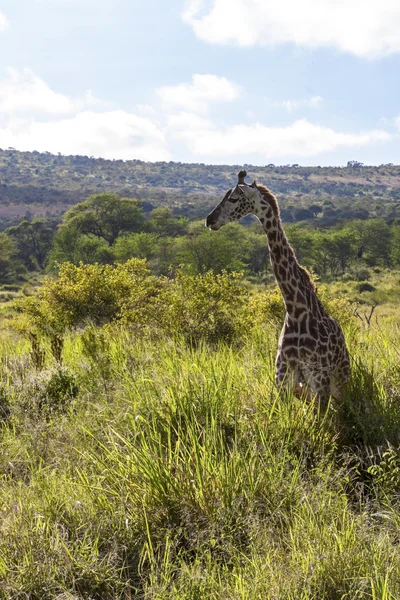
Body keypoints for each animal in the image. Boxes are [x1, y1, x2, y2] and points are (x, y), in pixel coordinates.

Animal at [206, 171, 350, 410]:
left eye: (234, 198)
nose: (209, 220)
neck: (295, 309)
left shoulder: (319, 379)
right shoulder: (283, 379)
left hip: (341, 375)